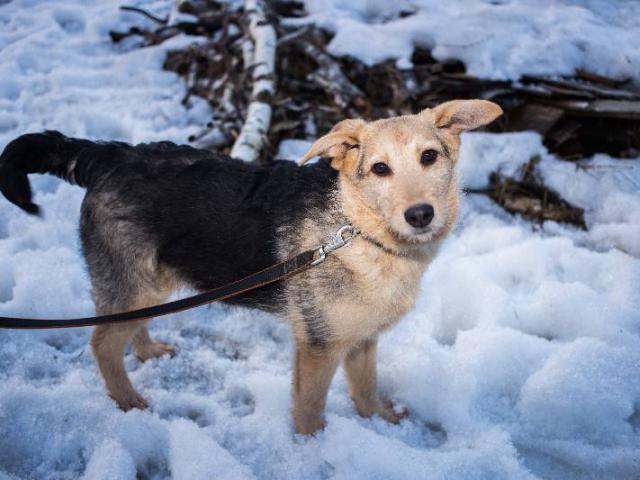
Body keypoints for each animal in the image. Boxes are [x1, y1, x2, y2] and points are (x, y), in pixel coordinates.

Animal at [0, 99, 500, 434]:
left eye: (429, 157)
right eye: (379, 169)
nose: (420, 215)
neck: (357, 229)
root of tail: (108, 154)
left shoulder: (360, 340)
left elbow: (366, 389)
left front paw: (379, 421)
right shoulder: (318, 347)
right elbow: (310, 408)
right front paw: (314, 449)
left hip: (148, 283)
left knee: (127, 328)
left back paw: (146, 352)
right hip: (136, 282)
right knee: (103, 342)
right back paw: (129, 401)